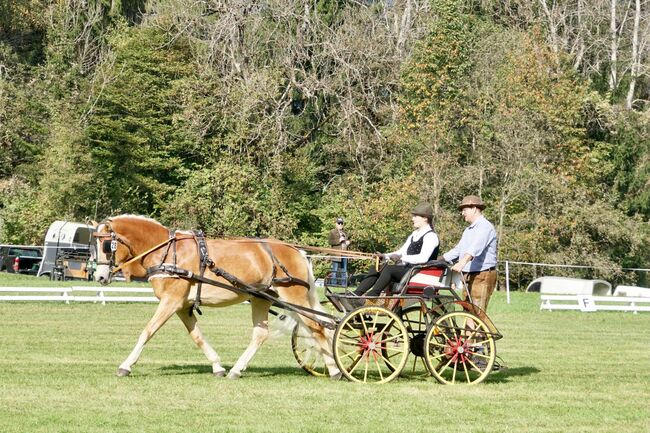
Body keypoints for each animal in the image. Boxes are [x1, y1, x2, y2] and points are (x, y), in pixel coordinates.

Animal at [95, 215, 344, 378]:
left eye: (106, 244)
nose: (99, 276)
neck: (166, 251)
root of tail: (296, 251)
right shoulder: (182, 306)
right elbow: (197, 336)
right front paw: (217, 366)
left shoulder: (171, 301)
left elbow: (147, 331)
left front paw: (126, 366)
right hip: (263, 298)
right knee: (264, 334)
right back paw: (236, 370)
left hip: (293, 296)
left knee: (318, 327)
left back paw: (334, 370)